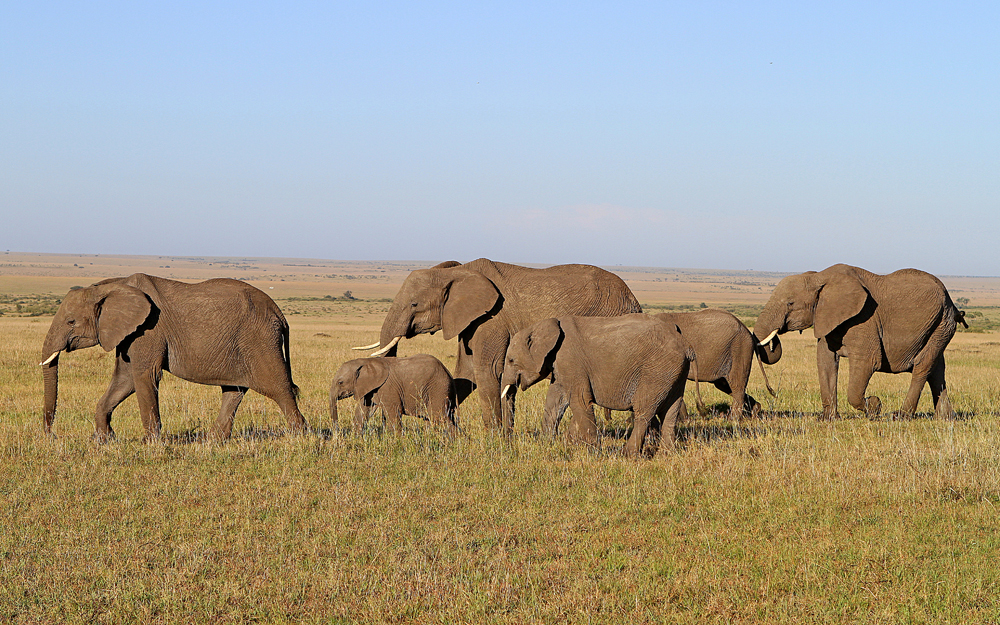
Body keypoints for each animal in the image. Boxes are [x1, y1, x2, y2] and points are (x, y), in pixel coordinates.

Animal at [39, 272, 306, 438]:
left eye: (71, 322)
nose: (51, 435)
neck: (111, 285)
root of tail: (279, 313)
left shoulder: (149, 329)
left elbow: (144, 376)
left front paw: (151, 443)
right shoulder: (128, 333)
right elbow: (124, 379)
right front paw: (105, 439)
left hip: (260, 339)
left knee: (279, 388)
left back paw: (301, 438)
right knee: (234, 390)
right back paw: (213, 441)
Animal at [328, 354, 458, 436]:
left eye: (340, 382)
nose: (337, 433)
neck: (366, 361)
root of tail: (448, 372)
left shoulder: (387, 387)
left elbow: (393, 413)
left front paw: (398, 442)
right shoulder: (369, 388)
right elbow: (362, 411)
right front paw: (356, 438)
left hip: (438, 388)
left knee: (439, 416)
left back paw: (453, 442)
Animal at [360, 258, 640, 428]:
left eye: (414, 304)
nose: (376, 424)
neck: (456, 272)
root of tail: (633, 299)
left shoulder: (492, 319)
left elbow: (487, 372)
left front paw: (495, 442)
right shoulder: (469, 322)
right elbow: (466, 375)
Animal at [500, 314, 696, 456]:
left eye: (511, 360)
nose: (507, 441)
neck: (544, 325)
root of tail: (686, 345)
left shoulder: (571, 360)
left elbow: (579, 400)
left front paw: (594, 451)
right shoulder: (560, 365)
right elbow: (555, 401)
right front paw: (550, 443)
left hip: (656, 370)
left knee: (644, 410)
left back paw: (628, 454)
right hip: (674, 372)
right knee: (671, 410)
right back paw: (667, 453)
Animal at [752, 264, 964, 420]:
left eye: (790, 303)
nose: (773, 392)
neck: (819, 277)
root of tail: (950, 299)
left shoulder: (864, 318)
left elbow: (867, 362)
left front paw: (874, 406)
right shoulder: (827, 317)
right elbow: (826, 362)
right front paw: (828, 419)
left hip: (943, 322)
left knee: (923, 365)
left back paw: (900, 416)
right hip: (940, 325)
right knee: (937, 368)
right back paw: (946, 418)